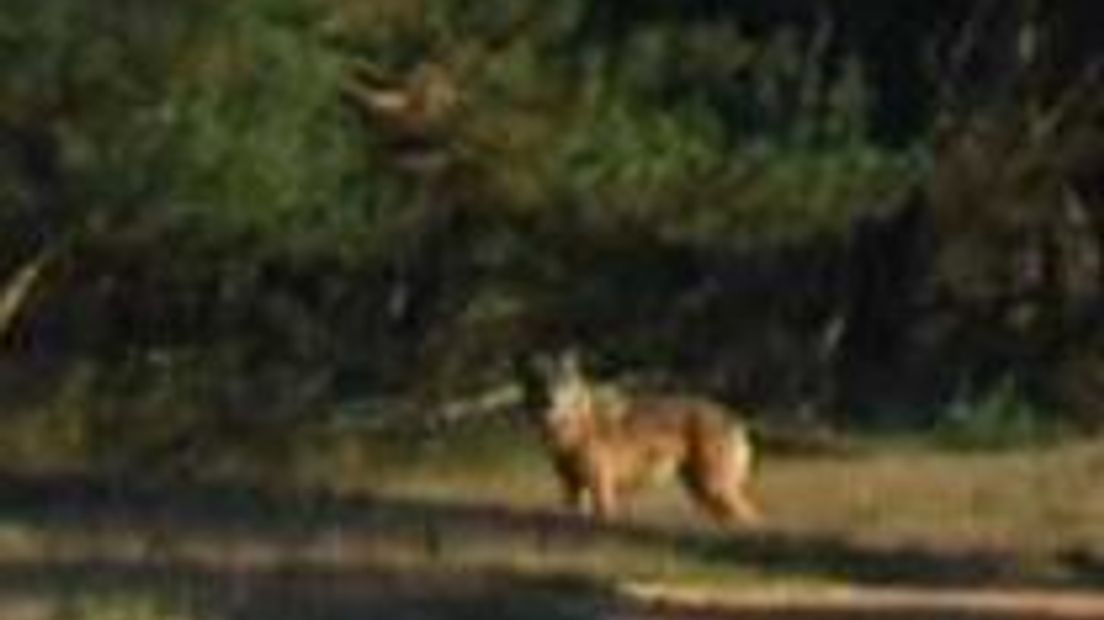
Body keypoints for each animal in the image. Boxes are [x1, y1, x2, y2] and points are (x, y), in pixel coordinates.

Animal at [532, 353, 759, 525]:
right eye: (543, 384)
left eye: (564, 384)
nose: (549, 401)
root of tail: (735, 419)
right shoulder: (572, 491)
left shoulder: (601, 491)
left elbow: (605, 516)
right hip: (703, 492)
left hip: (714, 489)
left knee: (752, 518)